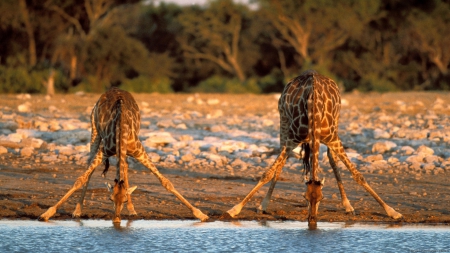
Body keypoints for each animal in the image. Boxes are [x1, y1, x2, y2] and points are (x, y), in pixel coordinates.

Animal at [39, 88, 208, 222]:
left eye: (125, 200)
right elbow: (80, 179)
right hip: (94, 130)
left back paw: (132, 210)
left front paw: (201, 214)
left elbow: (166, 182)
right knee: (90, 165)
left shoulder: (139, 151)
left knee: (124, 169)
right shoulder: (104, 151)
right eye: (110, 198)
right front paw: (47, 214)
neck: (121, 128)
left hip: (123, 149)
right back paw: (77, 210)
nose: (116, 220)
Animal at [227, 70, 402, 226]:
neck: (314, 111)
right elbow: (267, 173)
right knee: (281, 162)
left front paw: (393, 212)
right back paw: (263, 205)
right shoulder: (292, 139)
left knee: (332, 158)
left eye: (321, 198)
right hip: (283, 121)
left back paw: (348, 206)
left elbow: (358, 176)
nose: (312, 220)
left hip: (335, 124)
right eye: (304, 197)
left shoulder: (333, 139)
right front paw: (235, 209)